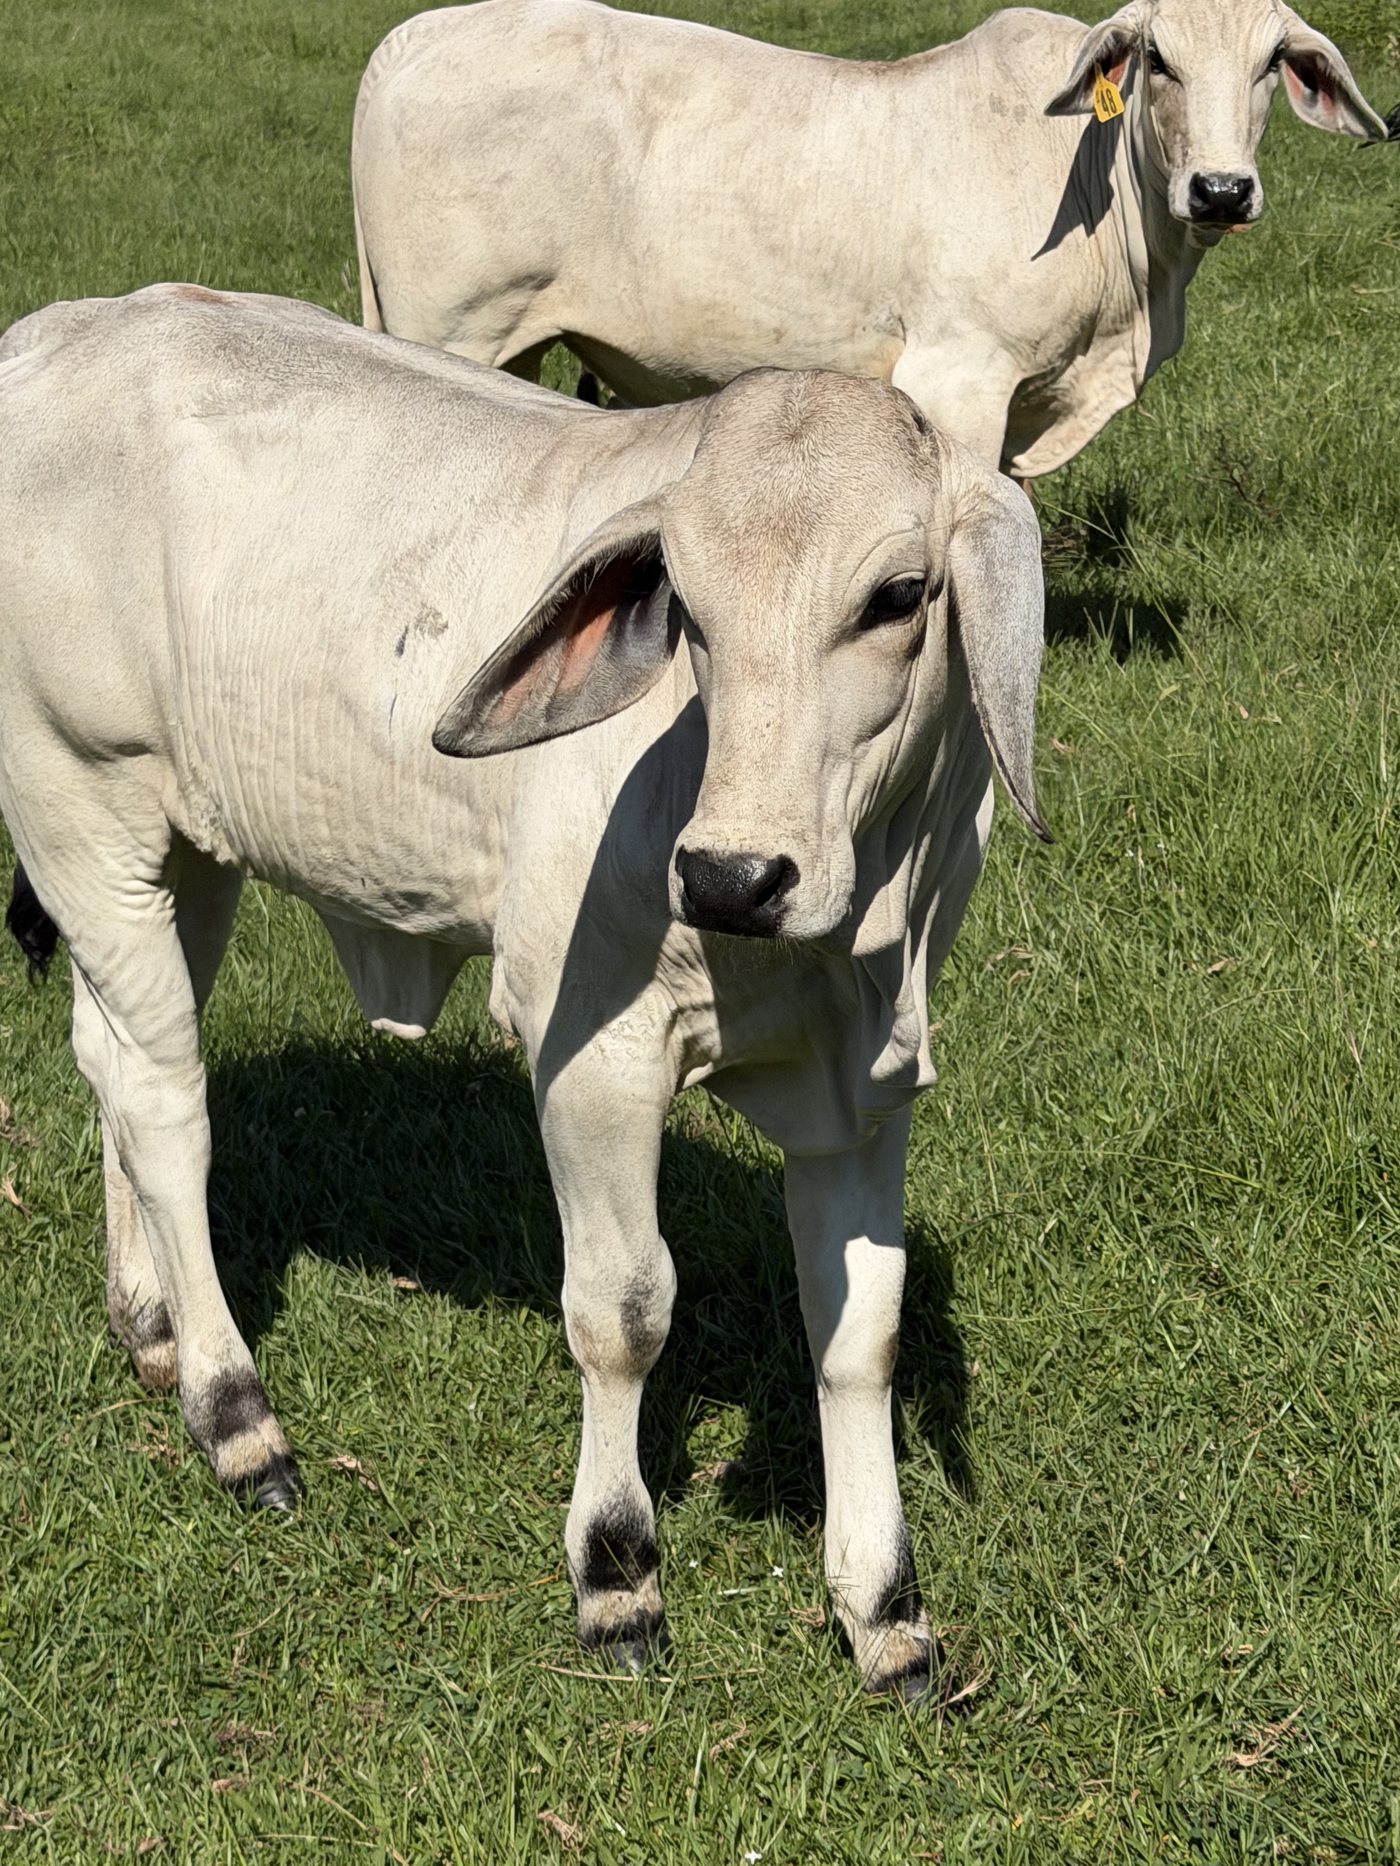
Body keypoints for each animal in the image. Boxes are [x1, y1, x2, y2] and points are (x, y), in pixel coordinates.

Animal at [0, 285, 1048, 1697]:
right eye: (687, 612)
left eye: (896, 596)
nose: (729, 876)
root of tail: (56, 332)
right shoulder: (588, 1054)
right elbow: (623, 1310)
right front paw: (616, 1575)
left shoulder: (869, 1082)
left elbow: (856, 1331)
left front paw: (882, 1609)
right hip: (79, 805)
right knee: (165, 1102)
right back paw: (236, 1415)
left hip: (185, 850)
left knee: (108, 1059)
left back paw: (151, 1323)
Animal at [352, 0, 1388, 477]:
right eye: (1159, 60)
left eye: (1271, 63)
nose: (1221, 190)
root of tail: (410, 38)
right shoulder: (958, 375)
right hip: (447, 329)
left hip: (513, 345)